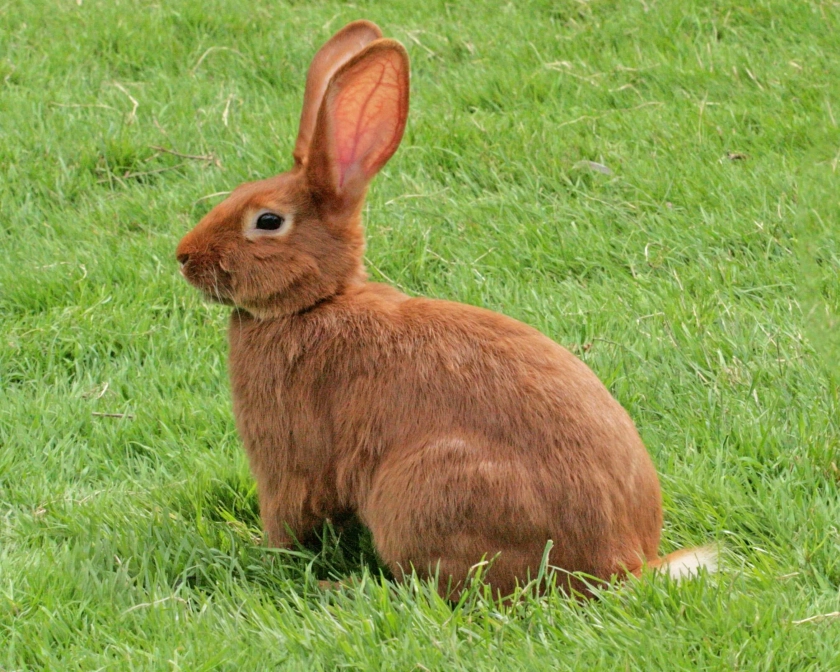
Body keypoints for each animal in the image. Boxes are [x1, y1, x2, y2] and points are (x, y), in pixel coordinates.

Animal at [177, 19, 716, 600]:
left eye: (268, 221)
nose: (184, 257)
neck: (317, 302)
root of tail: (622, 565)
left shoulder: (288, 461)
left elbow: (288, 516)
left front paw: (264, 554)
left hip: (428, 490)